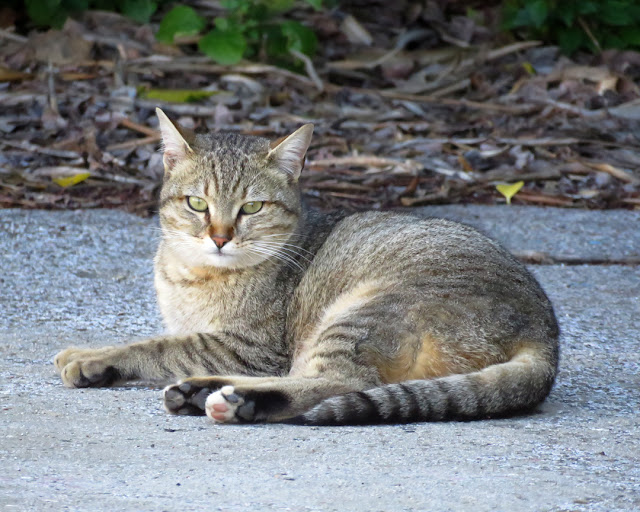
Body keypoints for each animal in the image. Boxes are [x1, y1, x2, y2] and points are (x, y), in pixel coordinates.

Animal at [53, 110, 560, 426]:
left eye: (252, 207)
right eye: (197, 204)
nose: (219, 237)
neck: (189, 274)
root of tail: (546, 334)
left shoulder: (249, 347)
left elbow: (160, 346)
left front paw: (92, 358)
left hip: (359, 313)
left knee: (336, 382)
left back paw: (236, 402)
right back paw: (201, 393)